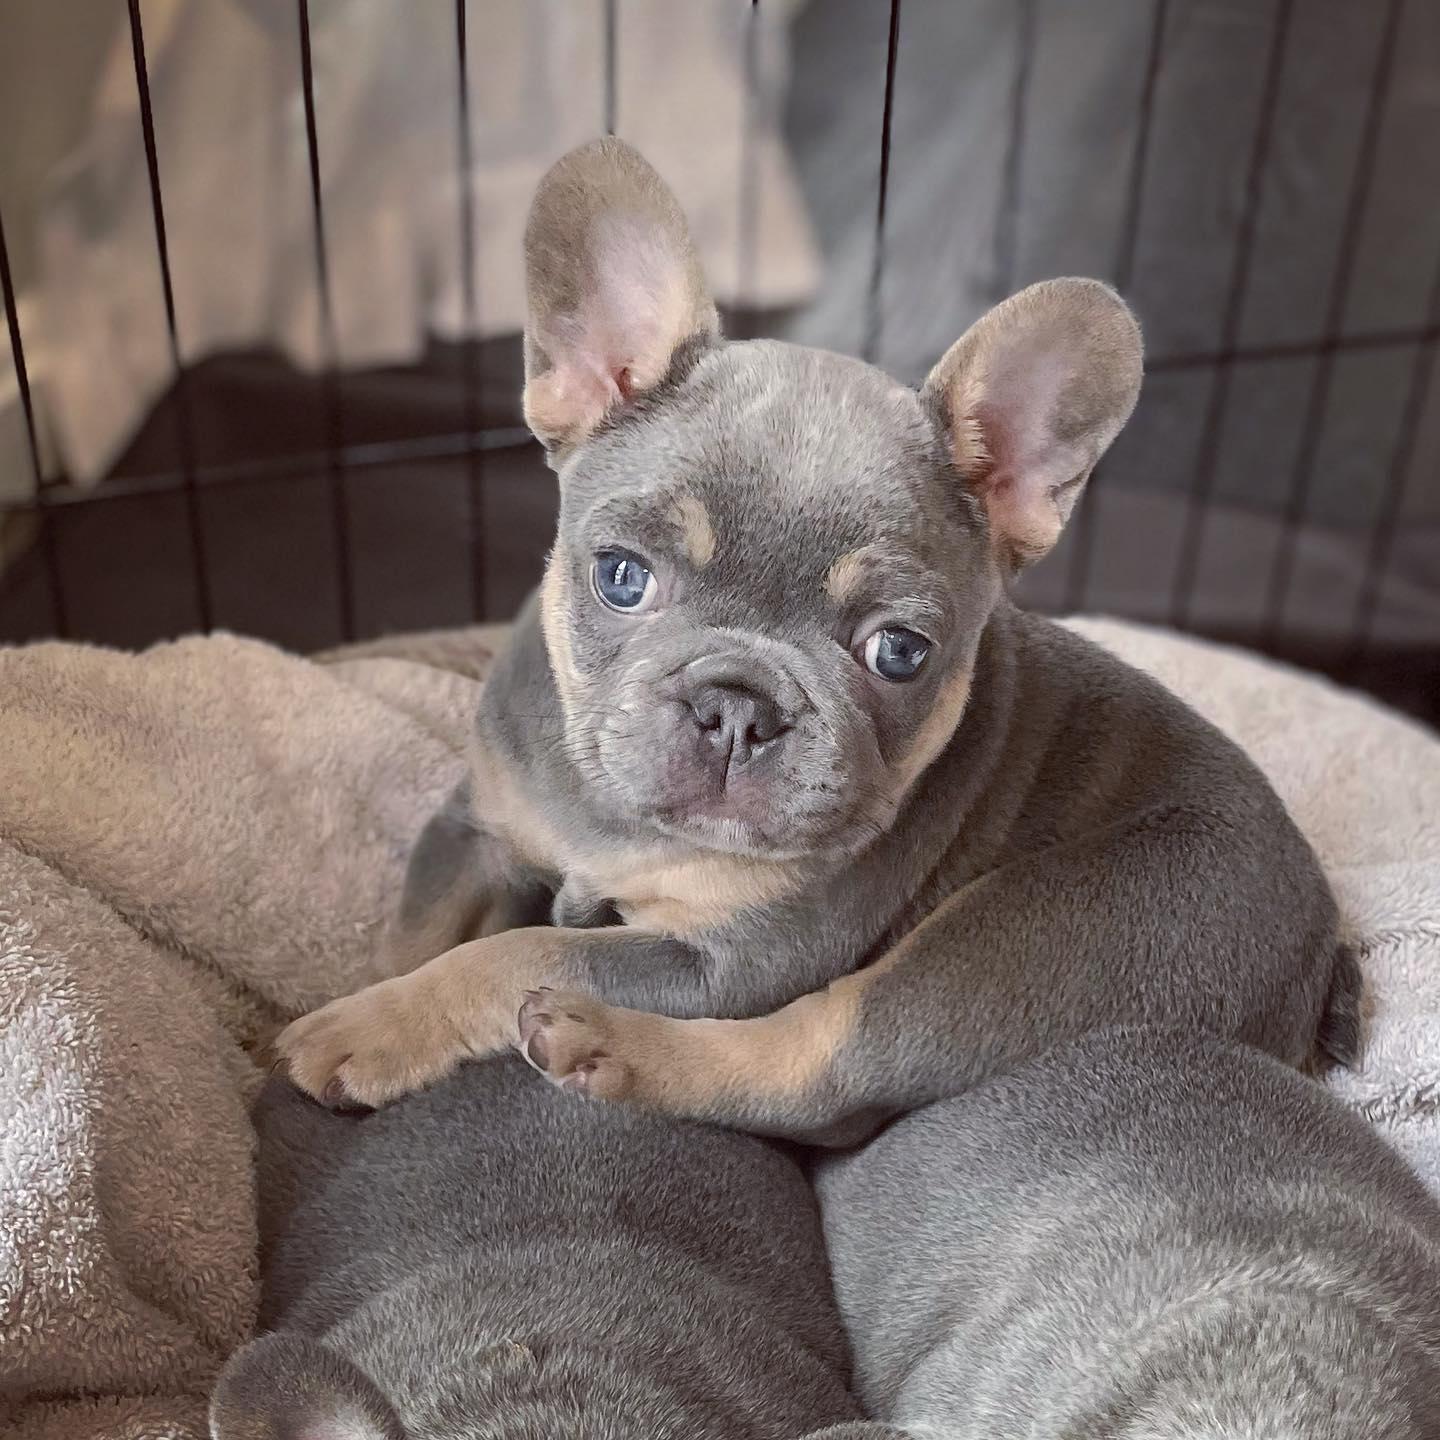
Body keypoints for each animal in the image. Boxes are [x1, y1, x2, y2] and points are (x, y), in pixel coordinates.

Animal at [276, 137, 1358, 1144]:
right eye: (622, 577)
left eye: (901, 653)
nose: (737, 708)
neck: (616, 827)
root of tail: (1313, 957)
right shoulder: (477, 826)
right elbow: (420, 927)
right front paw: (361, 997)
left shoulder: (732, 962)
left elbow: (511, 955)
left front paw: (367, 1027)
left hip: (1045, 936)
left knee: (819, 1069)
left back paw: (610, 1047)